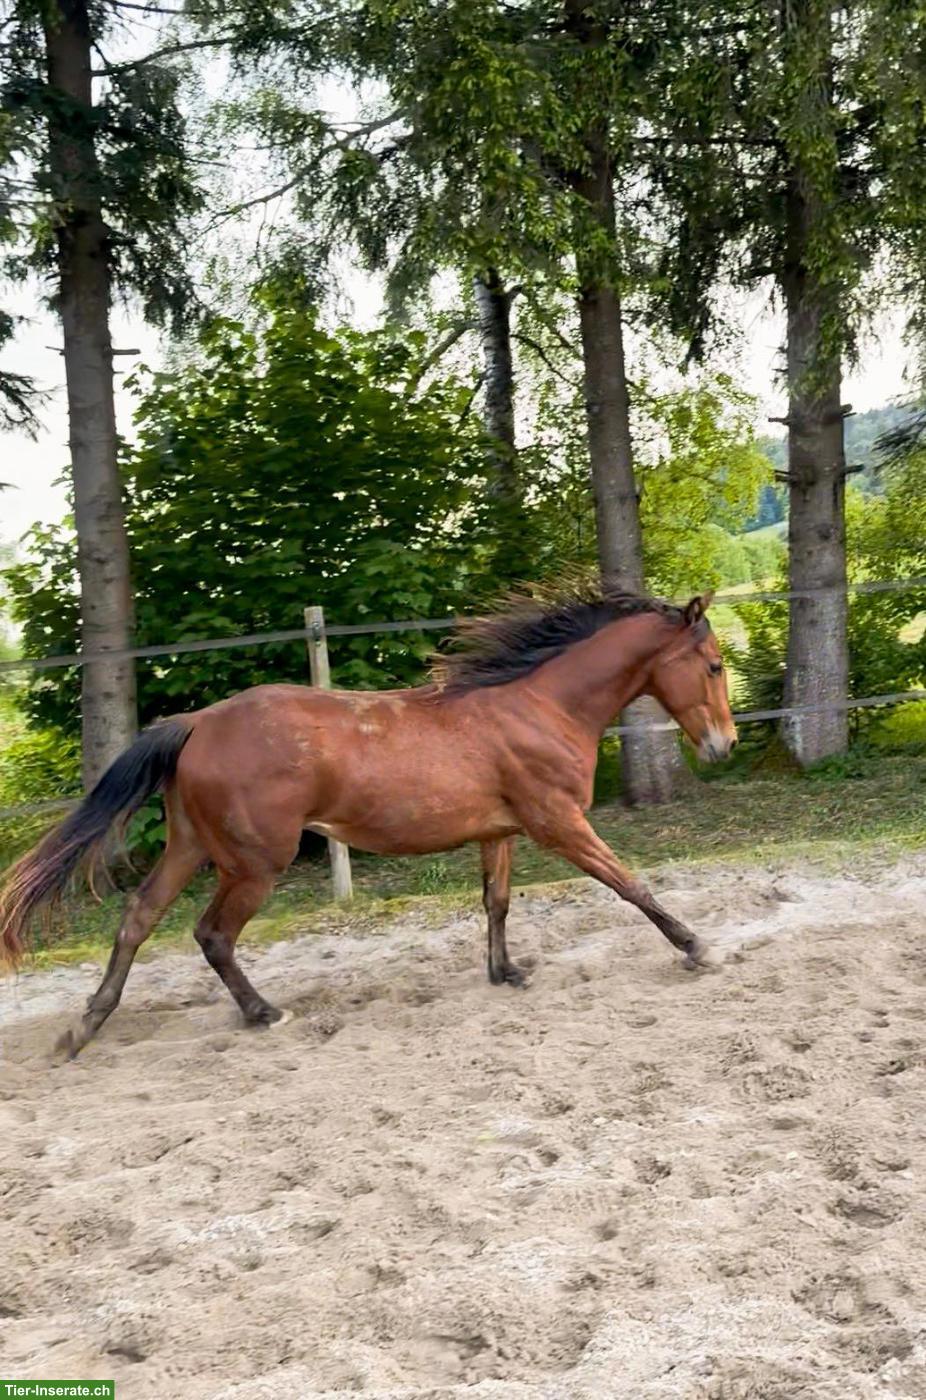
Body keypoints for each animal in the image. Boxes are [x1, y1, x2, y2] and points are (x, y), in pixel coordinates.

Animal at [0, 581, 737, 1057]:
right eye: (713, 664)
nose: (723, 746)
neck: (540, 707)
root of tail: (196, 723)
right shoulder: (556, 822)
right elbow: (629, 882)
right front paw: (697, 946)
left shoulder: (498, 831)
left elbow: (497, 902)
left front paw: (506, 973)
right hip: (252, 863)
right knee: (211, 935)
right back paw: (264, 1013)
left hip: (189, 845)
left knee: (137, 920)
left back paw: (82, 1030)